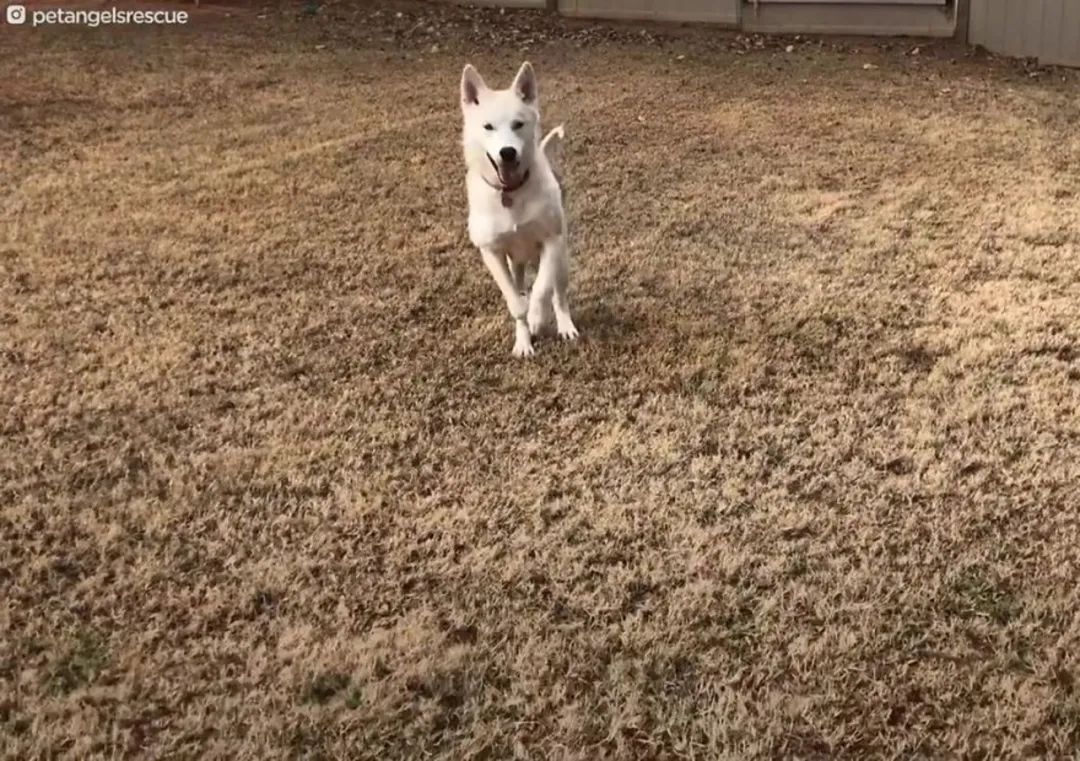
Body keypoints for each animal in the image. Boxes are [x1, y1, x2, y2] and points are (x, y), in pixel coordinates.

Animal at [457, 60, 578, 358]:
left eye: (518, 124)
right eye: (487, 127)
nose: (508, 152)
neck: (512, 193)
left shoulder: (551, 242)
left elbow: (542, 289)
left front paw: (536, 317)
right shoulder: (491, 253)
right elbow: (515, 302)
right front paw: (525, 325)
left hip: (562, 261)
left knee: (559, 295)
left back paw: (564, 325)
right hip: (516, 264)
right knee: (521, 284)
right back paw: (523, 340)